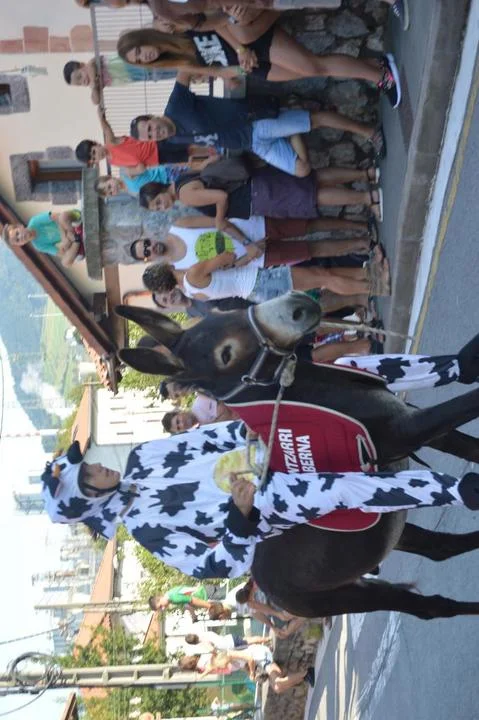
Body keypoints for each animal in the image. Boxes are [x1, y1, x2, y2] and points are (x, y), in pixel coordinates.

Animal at [115, 294, 479, 620]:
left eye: (225, 310)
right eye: (225, 354)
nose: (299, 306)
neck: (312, 391)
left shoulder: (416, 424)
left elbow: (468, 443)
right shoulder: (406, 430)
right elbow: (465, 407)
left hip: (387, 533)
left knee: (440, 549)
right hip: (346, 594)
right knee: (430, 607)